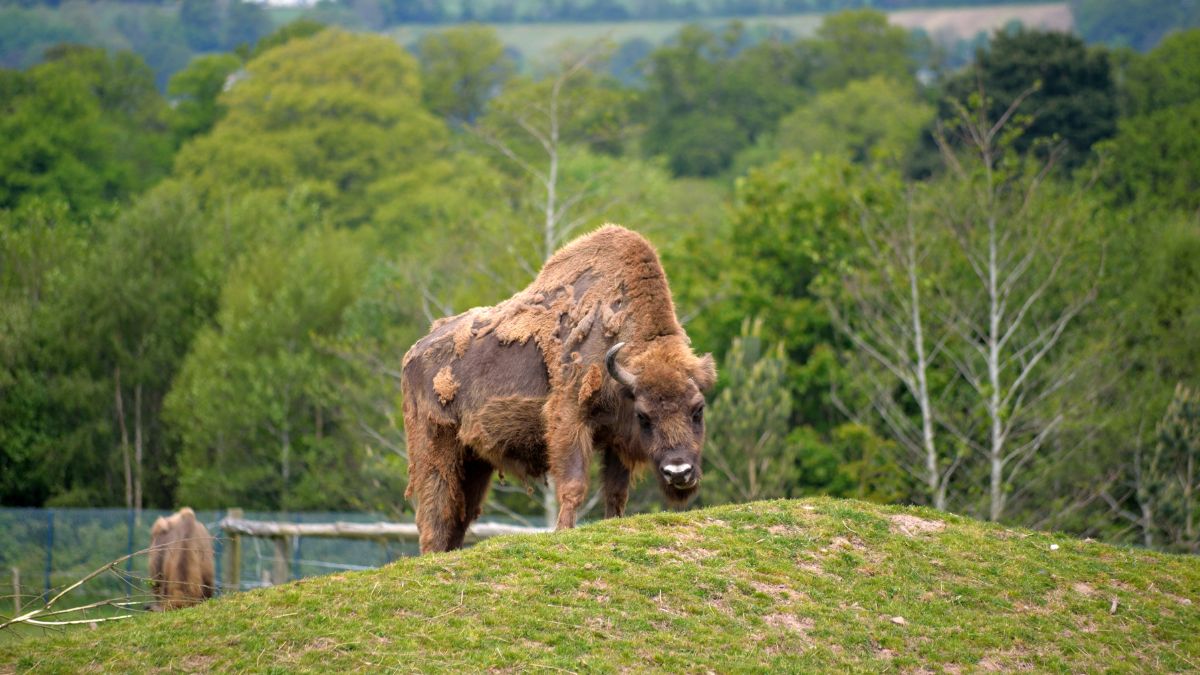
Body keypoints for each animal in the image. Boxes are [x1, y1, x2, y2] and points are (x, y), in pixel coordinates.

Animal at [403, 223, 715, 550]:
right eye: (644, 415)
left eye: (698, 409)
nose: (678, 472)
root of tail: (414, 353)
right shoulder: (570, 418)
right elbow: (574, 484)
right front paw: (564, 530)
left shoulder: (616, 438)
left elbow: (616, 492)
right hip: (435, 448)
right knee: (435, 514)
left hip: (474, 460)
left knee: (459, 516)